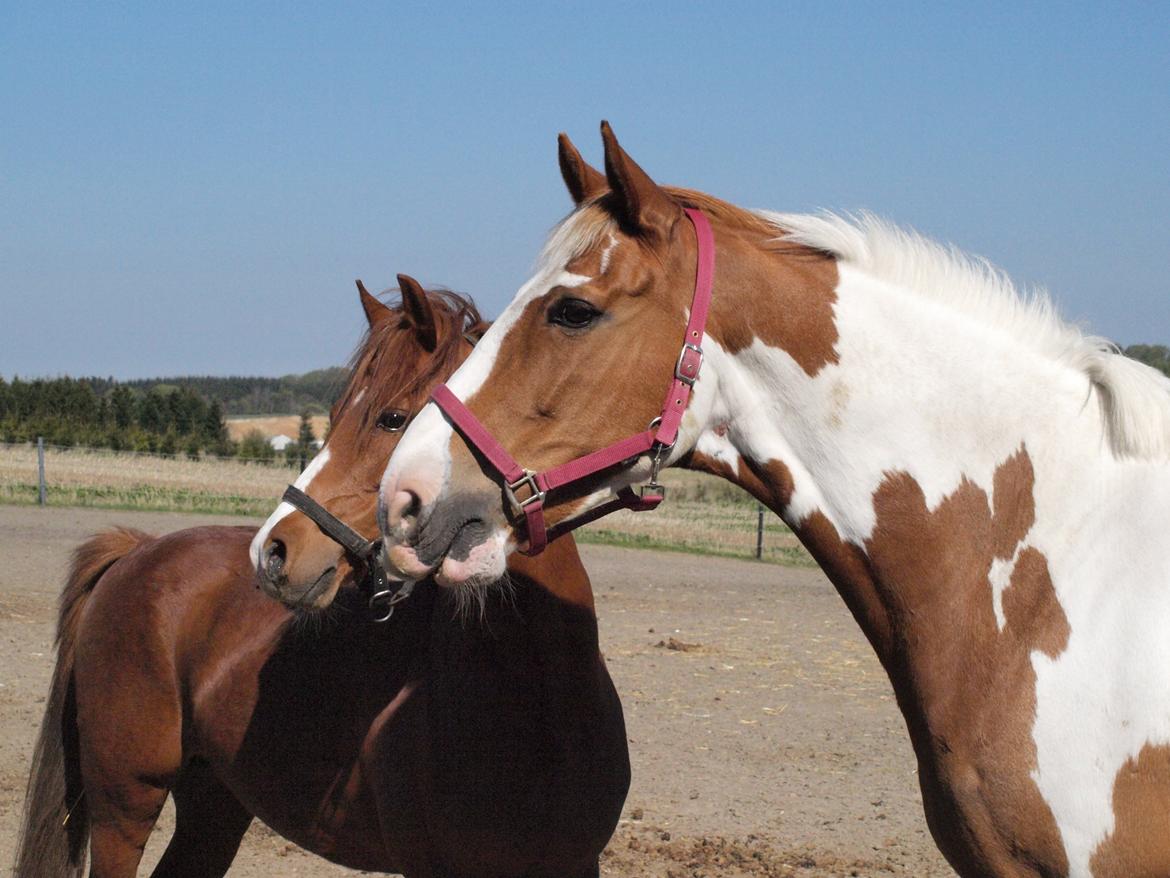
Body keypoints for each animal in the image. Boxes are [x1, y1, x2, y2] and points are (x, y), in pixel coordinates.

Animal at [13, 277, 630, 878]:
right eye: (333, 416)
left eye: (393, 417)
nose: (274, 552)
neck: (535, 688)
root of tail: (139, 551)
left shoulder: (575, 864)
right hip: (125, 807)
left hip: (215, 804)